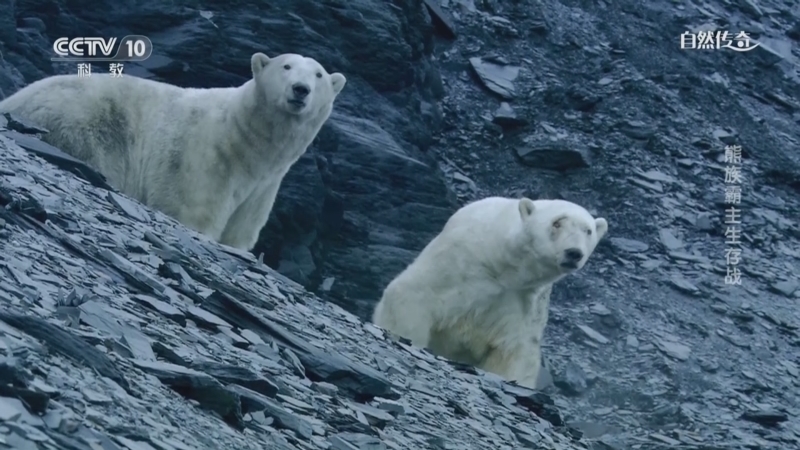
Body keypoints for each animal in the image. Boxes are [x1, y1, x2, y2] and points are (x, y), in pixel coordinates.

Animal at [0, 52, 346, 251]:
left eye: (318, 75)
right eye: (286, 66)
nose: (300, 89)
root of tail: (13, 100)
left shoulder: (263, 187)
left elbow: (240, 233)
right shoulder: (206, 159)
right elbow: (196, 213)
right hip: (84, 123)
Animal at [372, 196, 608, 388]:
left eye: (588, 230)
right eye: (557, 223)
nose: (574, 253)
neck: (503, 266)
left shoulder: (523, 301)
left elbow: (514, 350)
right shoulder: (456, 263)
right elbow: (412, 295)